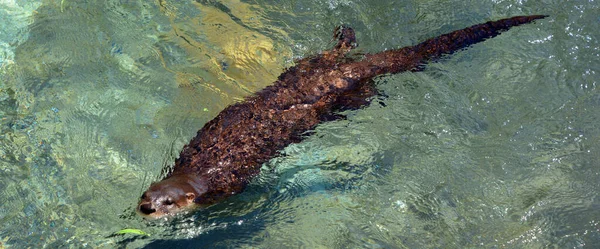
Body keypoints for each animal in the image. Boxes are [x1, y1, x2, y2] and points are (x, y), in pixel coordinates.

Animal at [138, 16, 548, 218]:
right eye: (147, 195)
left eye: (167, 204)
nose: (145, 208)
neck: (201, 172)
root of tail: (346, 72)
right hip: (308, 68)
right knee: (332, 54)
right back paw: (344, 37)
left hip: (348, 95)